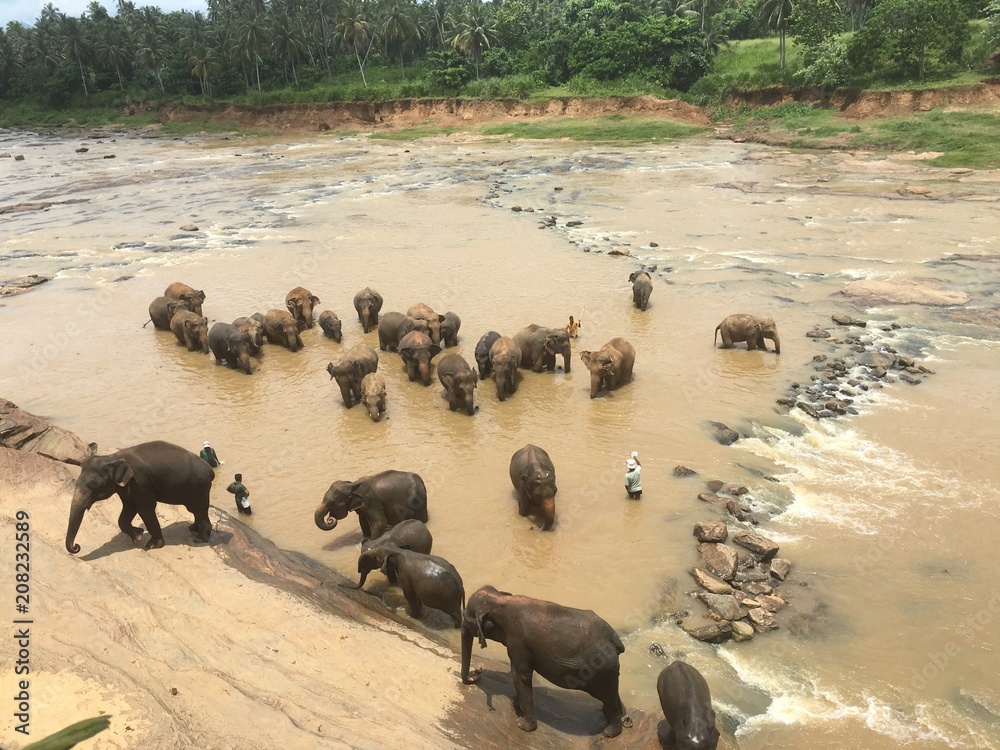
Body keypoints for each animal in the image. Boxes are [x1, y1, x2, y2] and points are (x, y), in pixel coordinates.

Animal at [66, 440, 214, 554]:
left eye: (94, 484)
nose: (76, 547)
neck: (112, 457)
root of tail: (211, 471)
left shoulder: (140, 481)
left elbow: (144, 508)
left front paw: (152, 545)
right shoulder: (125, 486)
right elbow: (129, 508)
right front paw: (138, 536)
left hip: (199, 486)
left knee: (199, 509)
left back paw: (200, 539)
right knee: (195, 510)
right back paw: (193, 529)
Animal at [461, 586, 629, 738]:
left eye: (468, 621)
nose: (477, 671)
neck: (498, 601)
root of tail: (615, 639)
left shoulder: (518, 641)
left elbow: (520, 675)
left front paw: (523, 725)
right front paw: (517, 704)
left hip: (602, 668)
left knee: (607, 696)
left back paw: (610, 732)